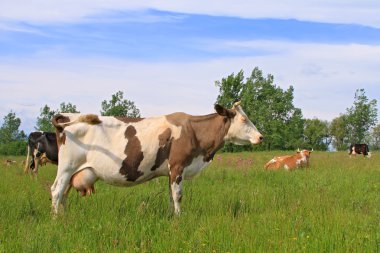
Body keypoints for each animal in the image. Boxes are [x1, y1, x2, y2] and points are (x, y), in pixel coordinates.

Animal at [49, 102, 264, 214]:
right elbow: (178, 195)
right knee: (56, 191)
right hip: (67, 167)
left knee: (64, 194)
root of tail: (65, 115)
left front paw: (171, 216)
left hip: (74, 171)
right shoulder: (177, 166)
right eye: (243, 119)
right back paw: (56, 219)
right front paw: (179, 219)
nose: (260, 136)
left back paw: (64, 217)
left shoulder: (170, 172)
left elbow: (170, 195)